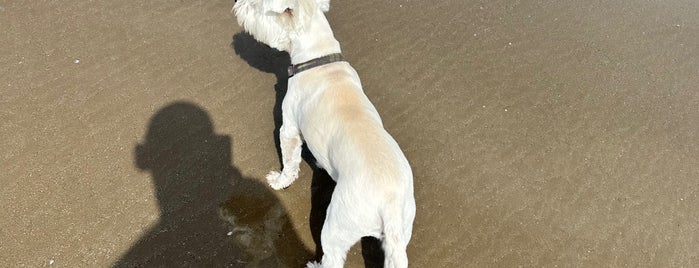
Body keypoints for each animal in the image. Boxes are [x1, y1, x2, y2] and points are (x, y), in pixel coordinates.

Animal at [232, 1, 416, 266]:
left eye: (257, 7)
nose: (237, 5)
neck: (320, 58)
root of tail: (389, 203)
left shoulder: (289, 127)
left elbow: (290, 162)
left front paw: (279, 181)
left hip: (337, 223)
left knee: (333, 255)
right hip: (403, 226)